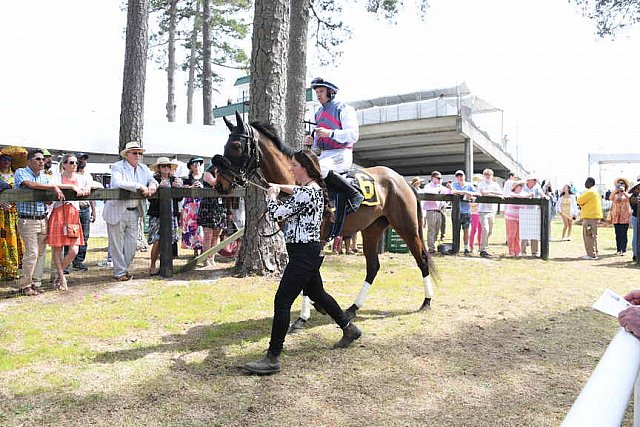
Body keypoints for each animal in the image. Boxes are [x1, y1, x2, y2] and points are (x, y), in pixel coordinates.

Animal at [215, 112, 436, 322]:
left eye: (236, 146)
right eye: (225, 145)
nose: (220, 184)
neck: (296, 183)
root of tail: (401, 180)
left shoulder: (315, 238)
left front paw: (303, 317)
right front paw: (316, 307)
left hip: (406, 227)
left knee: (422, 259)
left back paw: (426, 301)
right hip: (371, 229)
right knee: (373, 266)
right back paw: (353, 308)